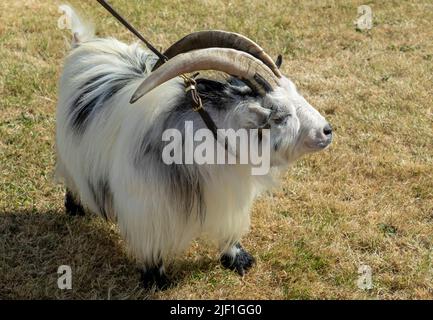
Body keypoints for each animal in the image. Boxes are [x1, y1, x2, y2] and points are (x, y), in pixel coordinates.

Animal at [55, 6, 332, 288]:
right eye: (279, 115)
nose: (326, 130)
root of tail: (84, 43)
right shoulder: (146, 207)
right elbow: (151, 244)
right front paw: (156, 280)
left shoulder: (229, 195)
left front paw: (238, 259)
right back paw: (75, 208)